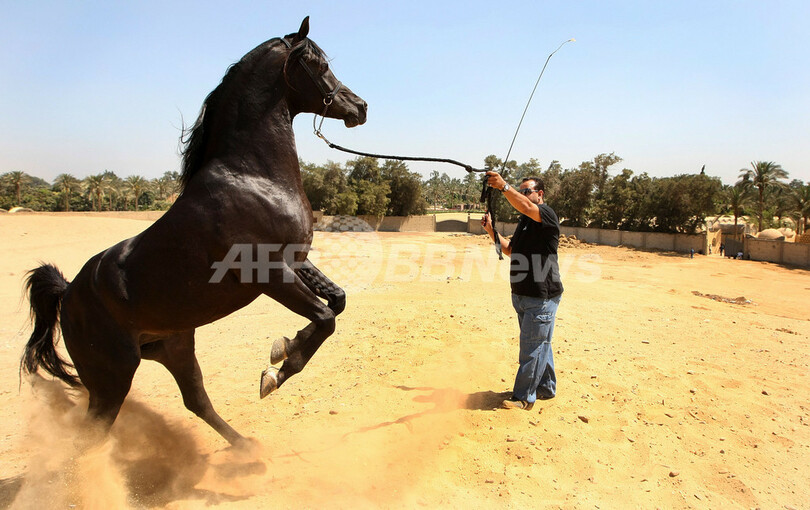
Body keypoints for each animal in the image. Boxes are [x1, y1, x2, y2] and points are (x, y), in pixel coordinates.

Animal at [20, 17, 367, 446]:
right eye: (319, 64)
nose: (360, 107)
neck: (252, 177)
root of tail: (67, 294)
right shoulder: (269, 274)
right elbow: (325, 316)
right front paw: (277, 368)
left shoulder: (295, 261)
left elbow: (337, 302)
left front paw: (281, 352)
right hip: (111, 377)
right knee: (91, 436)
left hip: (175, 347)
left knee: (196, 401)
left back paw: (247, 450)